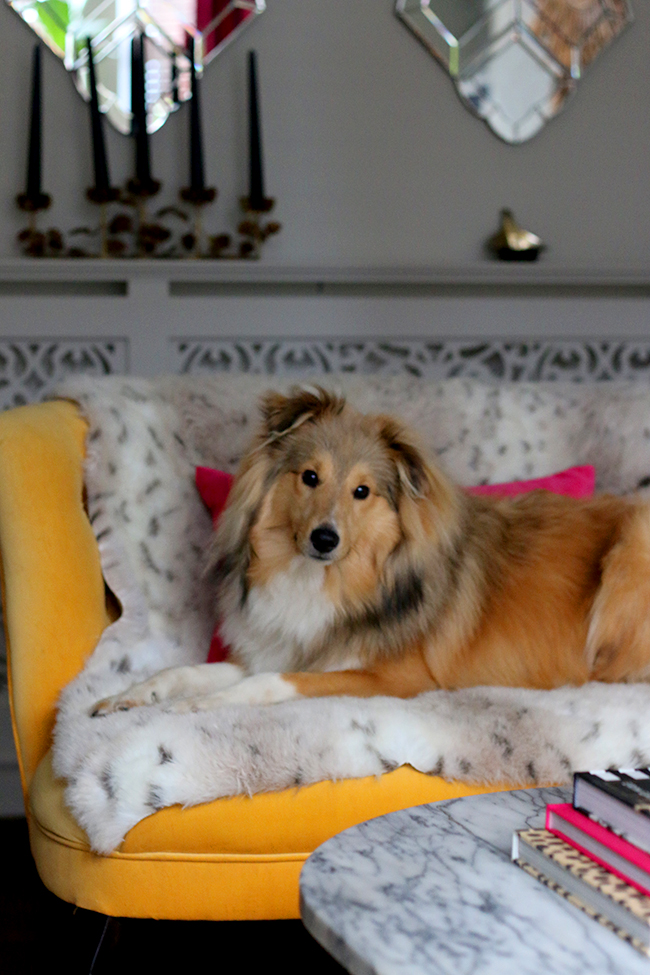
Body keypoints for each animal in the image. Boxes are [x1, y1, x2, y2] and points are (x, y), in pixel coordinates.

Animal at [92, 386, 650, 720]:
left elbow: (270, 683)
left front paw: (203, 706)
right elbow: (183, 671)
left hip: (629, 559)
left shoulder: (392, 678)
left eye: (362, 491)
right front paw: (130, 695)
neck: (326, 581)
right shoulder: (280, 648)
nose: (325, 539)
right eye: (309, 476)